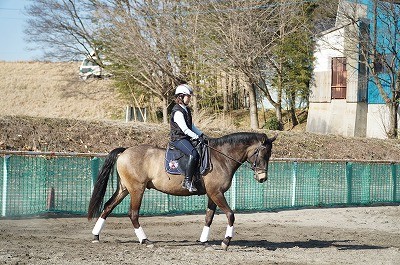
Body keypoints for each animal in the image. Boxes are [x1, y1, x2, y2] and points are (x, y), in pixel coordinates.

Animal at [87, 131, 276, 250]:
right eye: (262, 154)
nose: (262, 178)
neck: (221, 157)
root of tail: (125, 151)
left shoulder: (213, 194)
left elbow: (208, 218)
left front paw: (204, 241)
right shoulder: (216, 193)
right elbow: (230, 215)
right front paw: (226, 242)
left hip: (124, 189)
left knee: (108, 206)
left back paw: (96, 236)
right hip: (136, 190)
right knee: (133, 214)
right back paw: (145, 240)